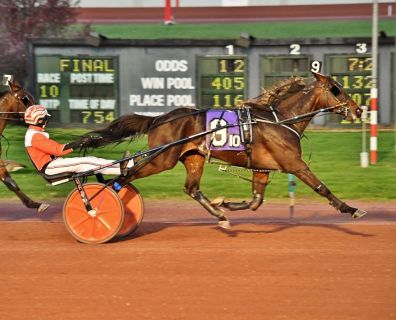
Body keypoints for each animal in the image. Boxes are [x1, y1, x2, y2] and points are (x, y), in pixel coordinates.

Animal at [85, 72, 366, 228]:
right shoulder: (294, 163)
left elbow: (255, 202)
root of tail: (159, 119)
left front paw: (225, 203)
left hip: (193, 157)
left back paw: (219, 215)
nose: (359, 109)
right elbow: (322, 187)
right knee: (126, 175)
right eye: (336, 89)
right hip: (162, 158)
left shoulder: (262, 168)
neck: (281, 119)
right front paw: (351, 209)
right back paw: (98, 201)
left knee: (192, 188)